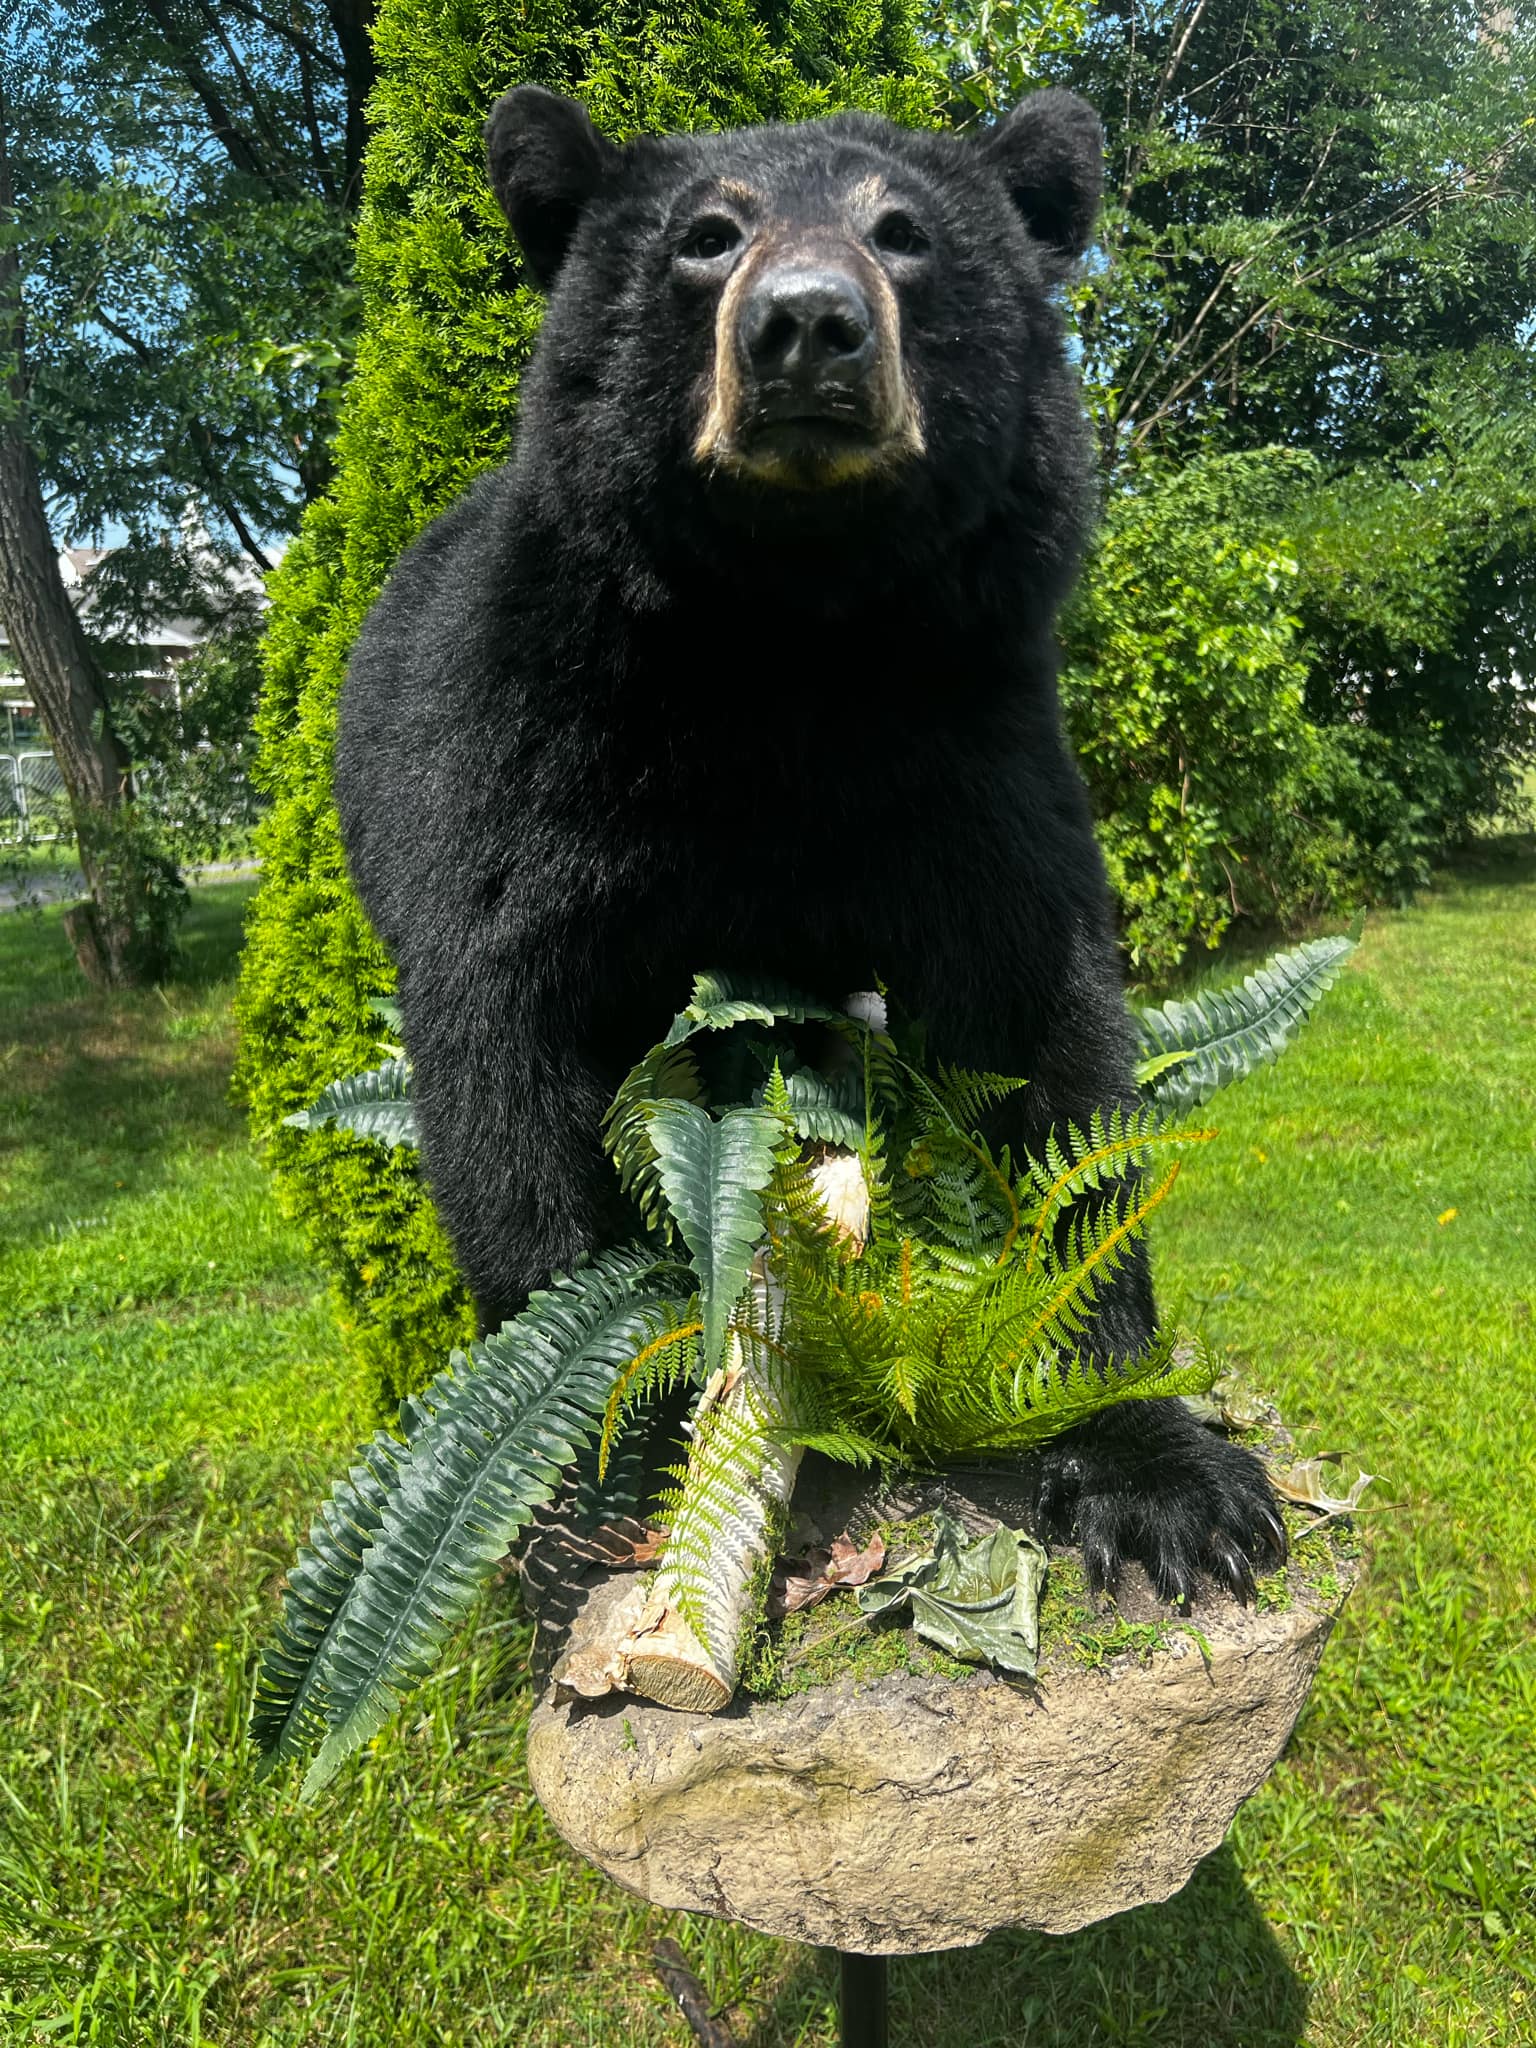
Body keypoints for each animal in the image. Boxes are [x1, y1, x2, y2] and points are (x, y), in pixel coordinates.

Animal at [333, 83, 1287, 1607]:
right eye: (706, 237)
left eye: (902, 234)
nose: (806, 325)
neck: (791, 633)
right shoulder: (525, 744)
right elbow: (507, 1050)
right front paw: (582, 1492)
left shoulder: (976, 739)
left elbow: (1050, 1053)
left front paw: (1162, 1477)